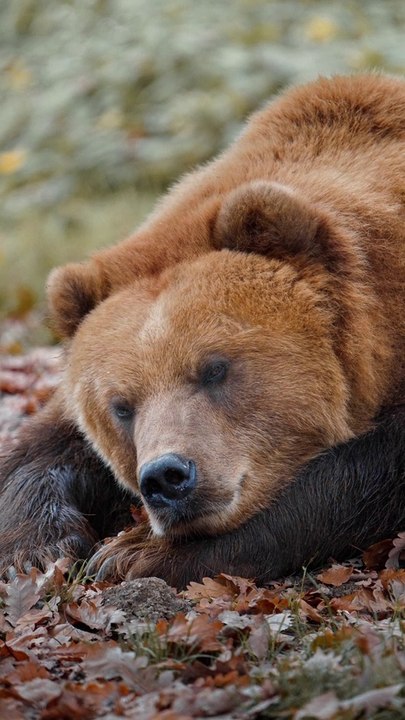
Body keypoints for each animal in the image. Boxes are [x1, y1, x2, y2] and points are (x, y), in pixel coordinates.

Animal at [0, 72, 404, 586]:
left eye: (215, 368)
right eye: (121, 406)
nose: (166, 477)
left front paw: (134, 550)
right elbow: (46, 445)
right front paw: (37, 546)